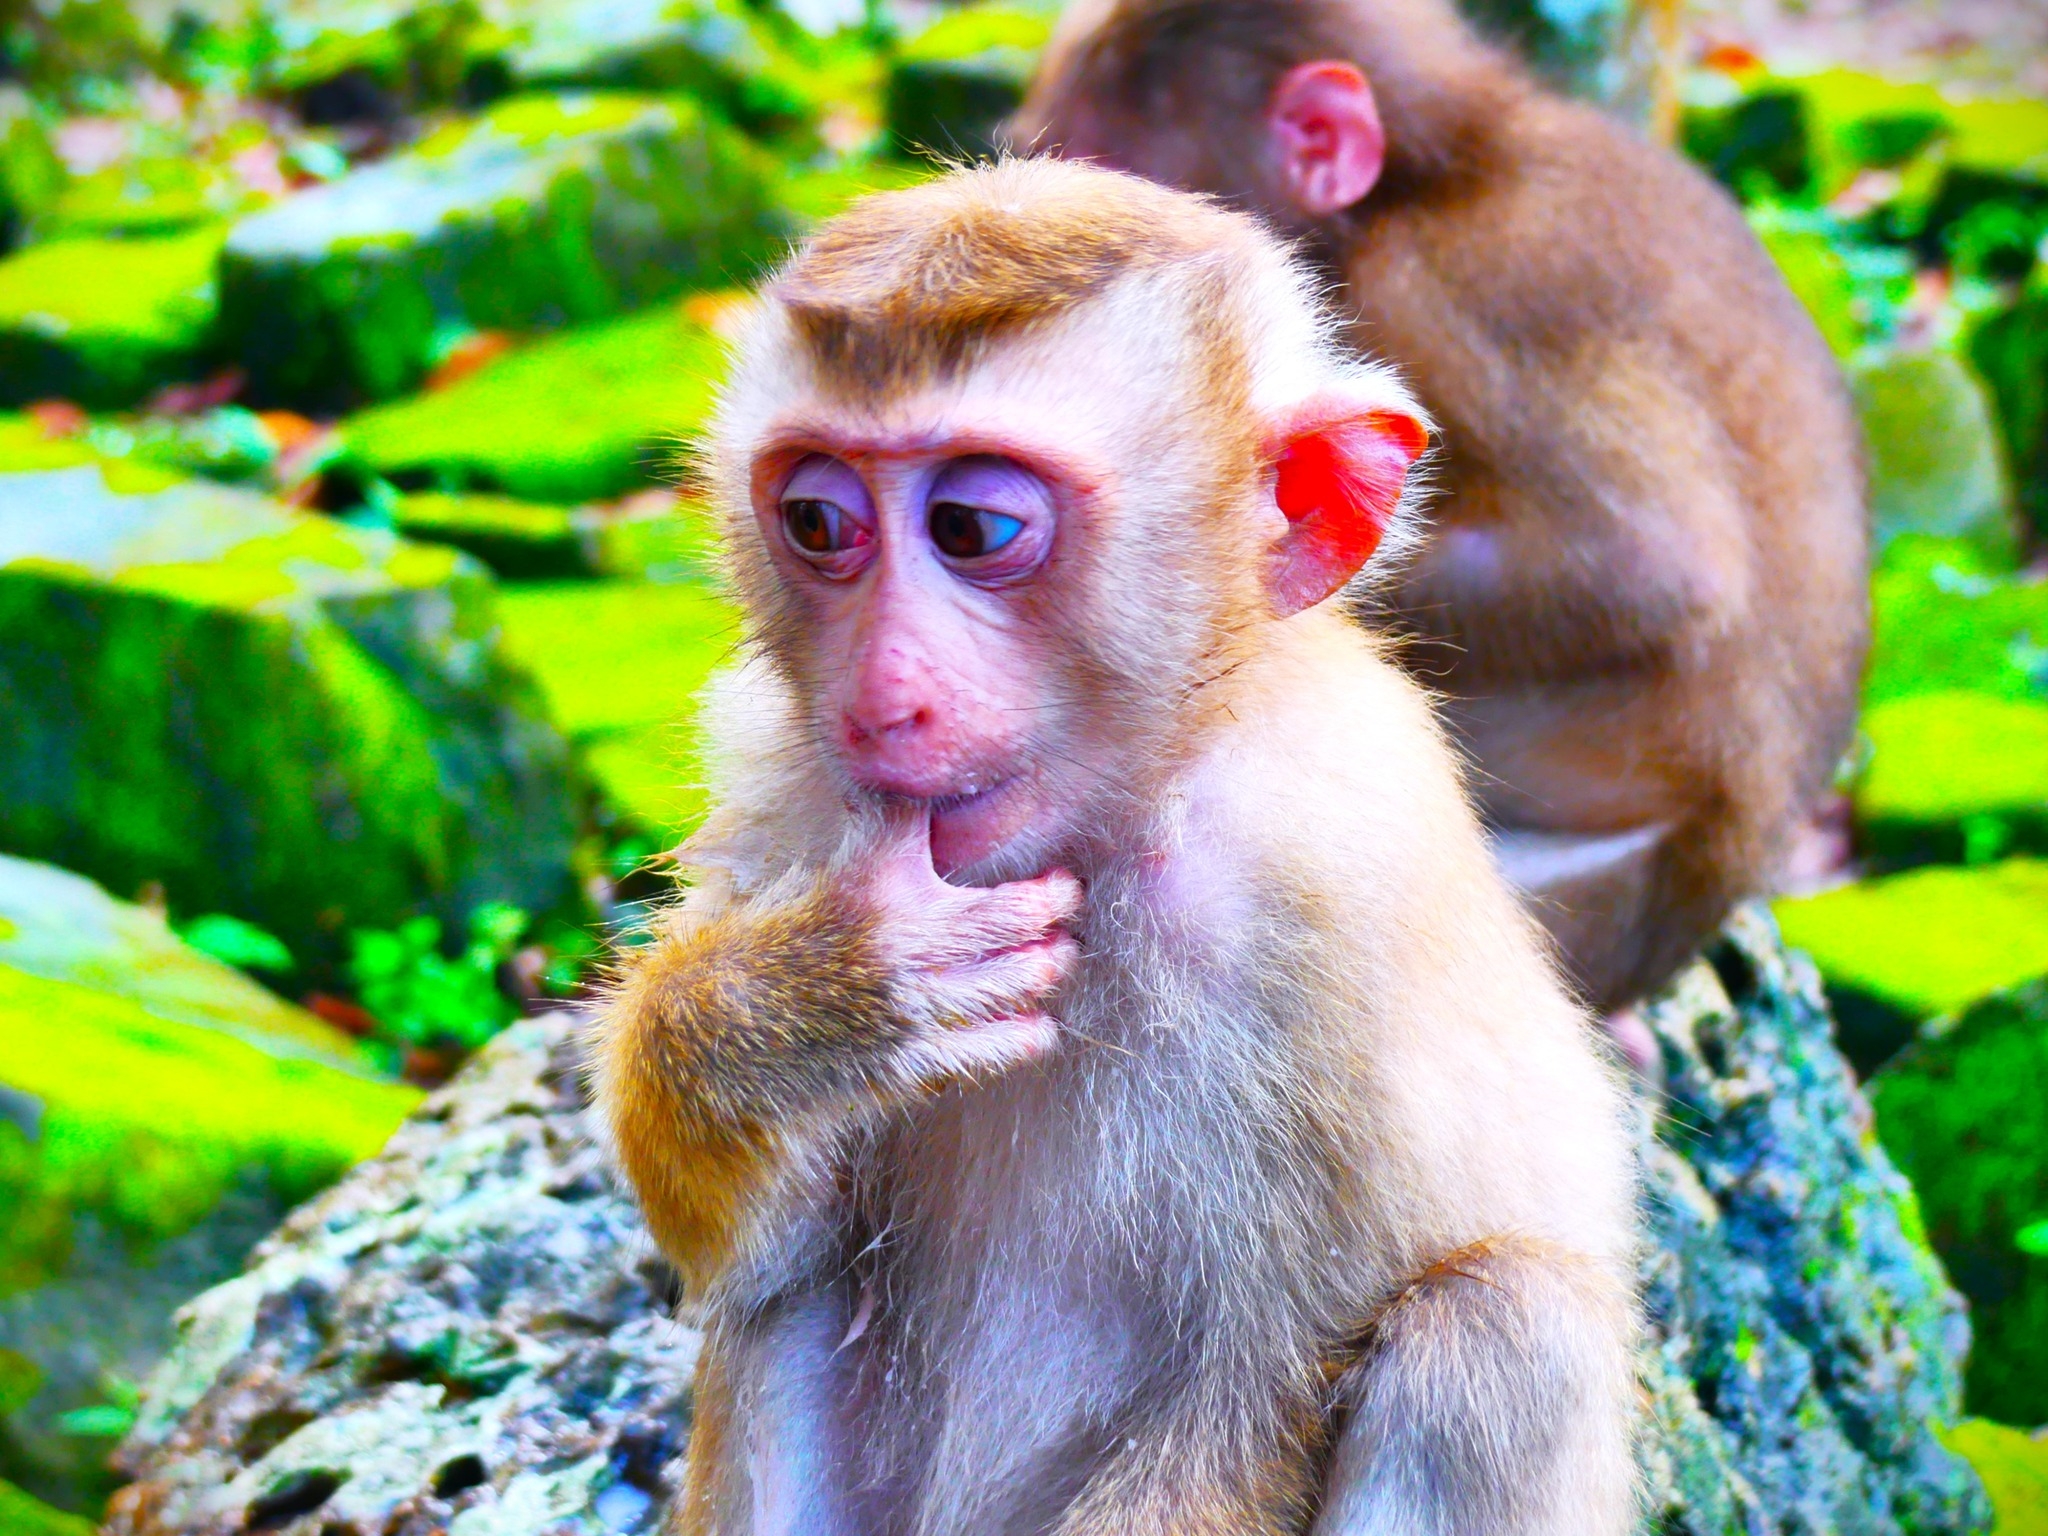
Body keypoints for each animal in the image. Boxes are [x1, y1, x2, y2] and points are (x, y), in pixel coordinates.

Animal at [591, 158, 1638, 1536]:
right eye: (816, 520)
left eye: (974, 529)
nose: (880, 700)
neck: (1121, 820)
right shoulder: (779, 781)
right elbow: (754, 1256)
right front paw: (807, 1007)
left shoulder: (1330, 894)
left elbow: (1259, 1382)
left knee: (1502, 1332)